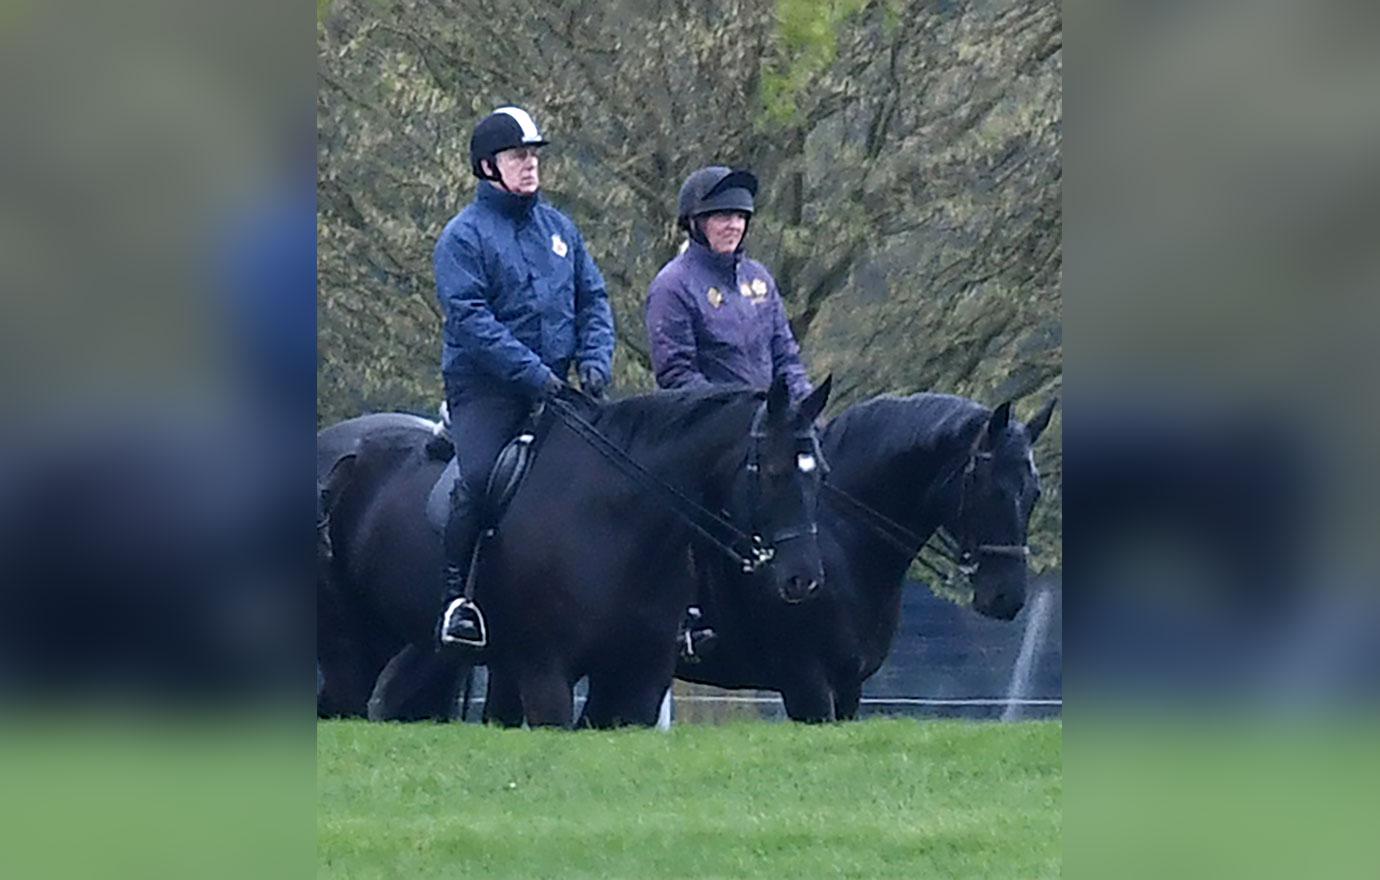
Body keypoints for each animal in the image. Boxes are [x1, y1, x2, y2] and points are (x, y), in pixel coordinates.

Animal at [316, 380, 828, 728]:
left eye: (818, 472)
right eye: (774, 471)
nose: (803, 578)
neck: (616, 523)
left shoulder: (639, 680)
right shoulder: (546, 675)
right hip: (349, 647)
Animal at [678, 394, 1054, 722]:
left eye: (1034, 492)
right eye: (990, 489)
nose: (1007, 598)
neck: (839, 541)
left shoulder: (849, 683)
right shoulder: (805, 682)